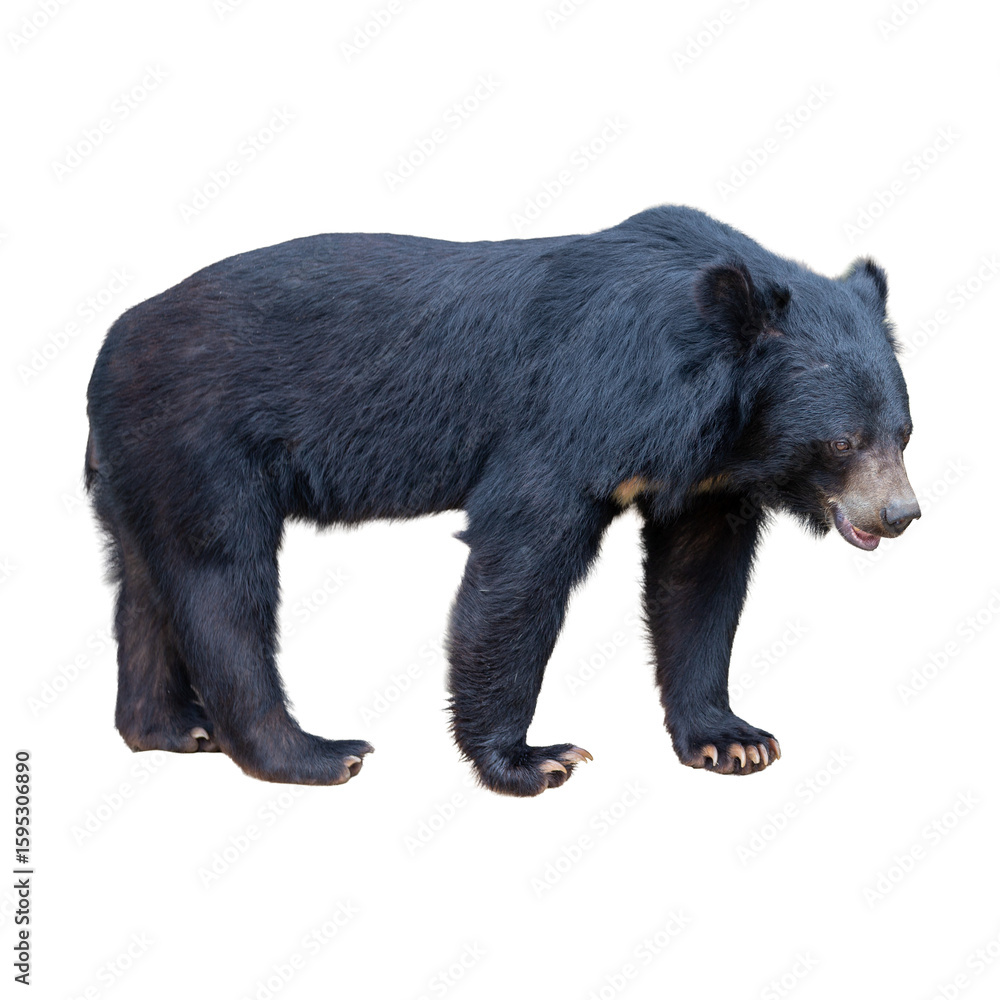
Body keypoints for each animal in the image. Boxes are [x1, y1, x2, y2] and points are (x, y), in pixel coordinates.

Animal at [85, 205, 920, 796]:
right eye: (842, 442)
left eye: (905, 432)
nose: (899, 515)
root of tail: (110, 342)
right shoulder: (578, 412)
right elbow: (521, 562)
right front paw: (535, 760)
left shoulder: (711, 478)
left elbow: (698, 581)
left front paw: (733, 741)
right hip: (201, 438)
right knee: (222, 583)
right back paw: (315, 754)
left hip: (140, 464)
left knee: (147, 582)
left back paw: (168, 729)